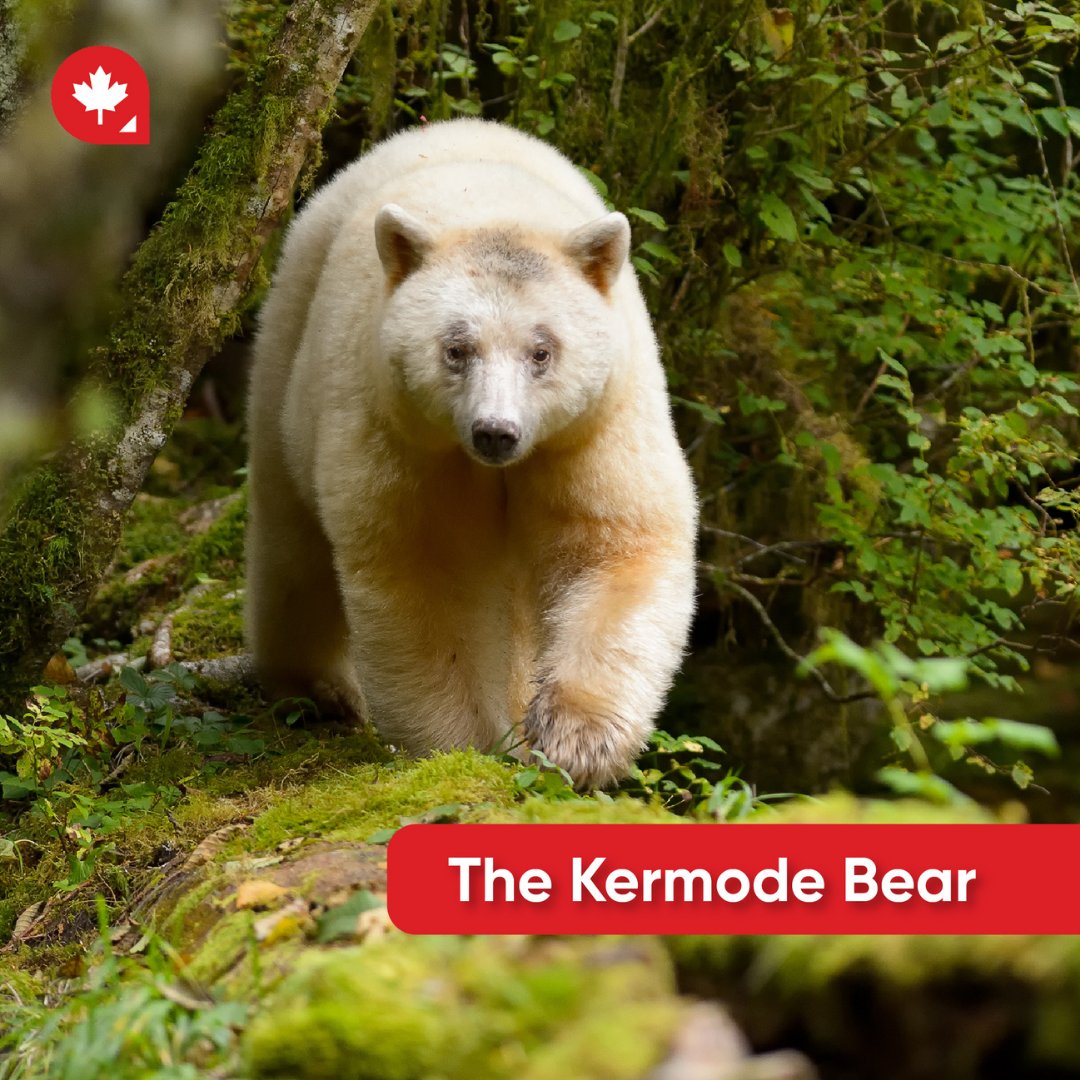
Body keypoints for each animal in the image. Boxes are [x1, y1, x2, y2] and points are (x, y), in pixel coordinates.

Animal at [244, 118, 697, 788]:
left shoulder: (592, 428)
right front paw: (465, 746)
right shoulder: (408, 440)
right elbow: (429, 578)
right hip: (291, 349)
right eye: (456, 348)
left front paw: (575, 740)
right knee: (291, 539)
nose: (495, 432)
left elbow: (613, 546)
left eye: (542, 350)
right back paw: (315, 688)